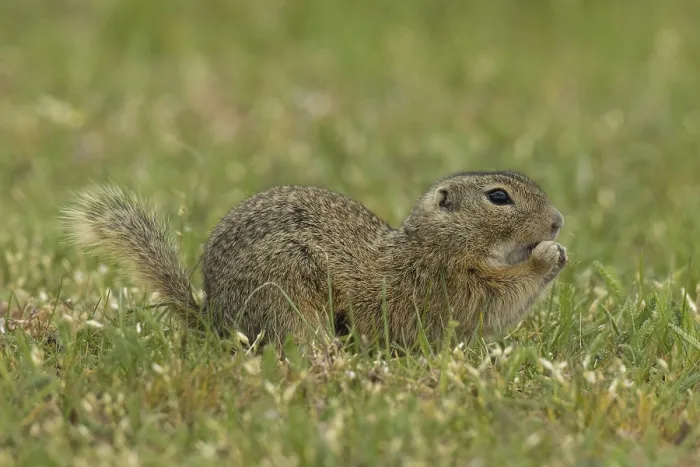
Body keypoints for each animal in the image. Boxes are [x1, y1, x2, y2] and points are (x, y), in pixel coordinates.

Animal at [61, 170, 568, 350]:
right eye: (498, 197)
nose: (558, 221)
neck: (437, 242)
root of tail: (216, 321)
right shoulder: (447, 281)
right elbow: (496, 298)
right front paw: (547, 258)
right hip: (288, 298)